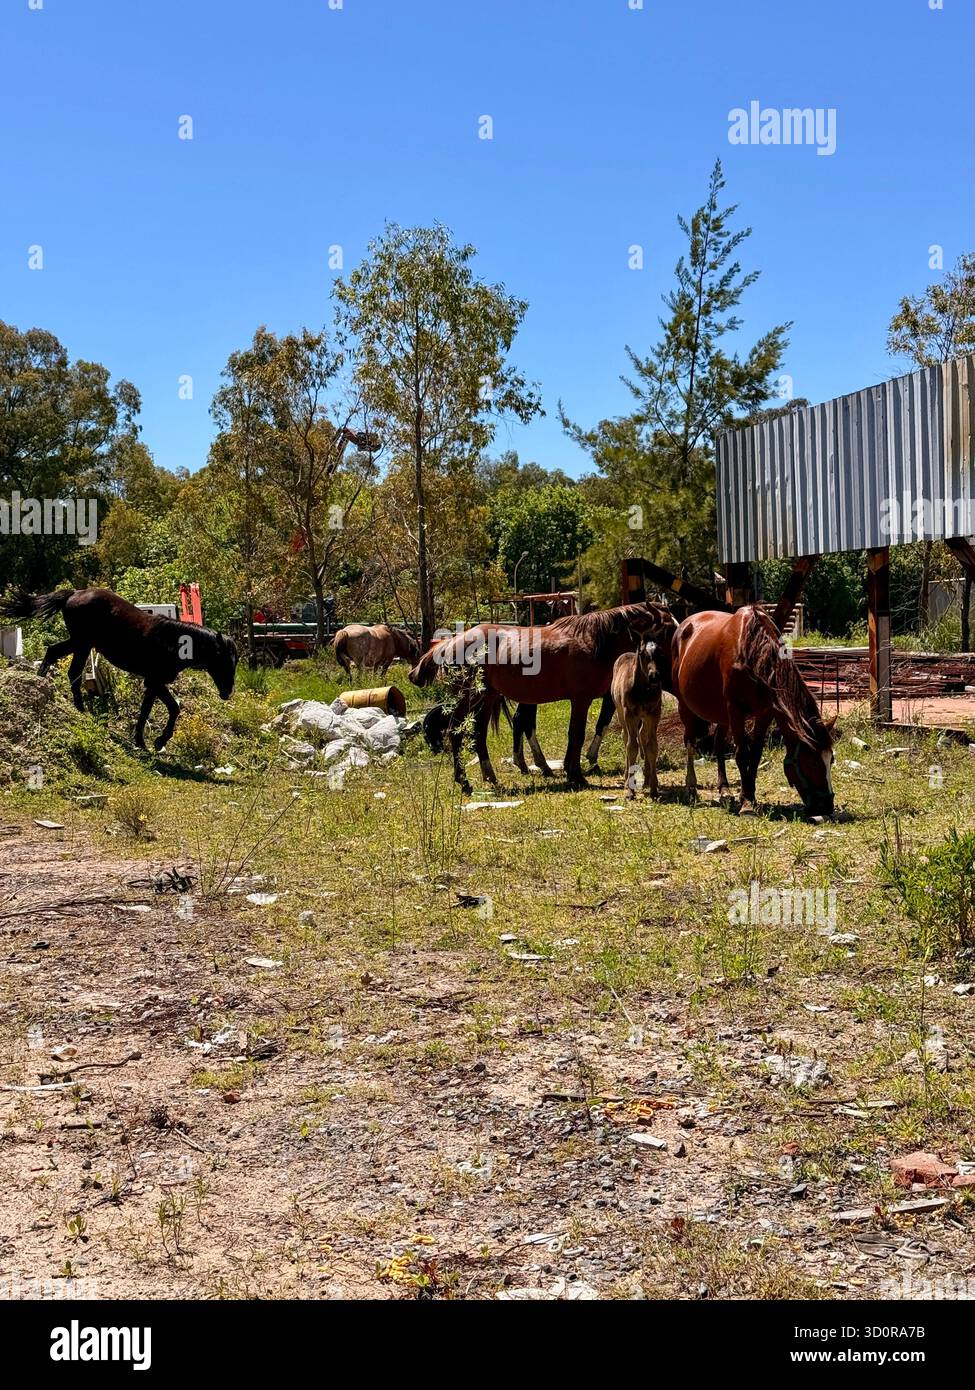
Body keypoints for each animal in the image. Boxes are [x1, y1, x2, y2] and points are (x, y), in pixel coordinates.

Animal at [0, 587, 238, 752]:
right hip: (82, 643)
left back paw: (44, 683)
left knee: (53, 653)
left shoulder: (155, 682)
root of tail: (74, 593)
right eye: (224, 661)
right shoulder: (154, 681)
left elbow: (167, 708)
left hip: (79, 643)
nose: (227, 692)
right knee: (71, 671)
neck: (176, 641)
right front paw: (148, 741)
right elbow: (157, 710)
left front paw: (154, 741)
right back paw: (79, 708)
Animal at [611, 641, 663, 800]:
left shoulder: (654, 713)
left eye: (660, 653)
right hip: (621, 712)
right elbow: (632, 746)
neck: (643, 690)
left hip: (644, 717)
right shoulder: (630, 714)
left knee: (642, 734)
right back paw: (627, 776)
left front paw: (653, 788)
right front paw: (630, 790)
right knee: (626, 736)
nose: (654, 676)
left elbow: (652, 746)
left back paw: (647, 778)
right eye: (643, 654)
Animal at [672, 605, 834, 817]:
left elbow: (755, 754)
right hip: (686, 706)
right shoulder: (735, 710)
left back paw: (724, 789)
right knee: (690, 740)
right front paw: (747, 804)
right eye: (813, 762)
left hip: (722, 715)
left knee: (718, 743)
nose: (827, 806)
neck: (753, 652)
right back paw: (691, 787)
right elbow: (742, 754)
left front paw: (748, 796)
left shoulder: (765, 712)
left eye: (831, 760)